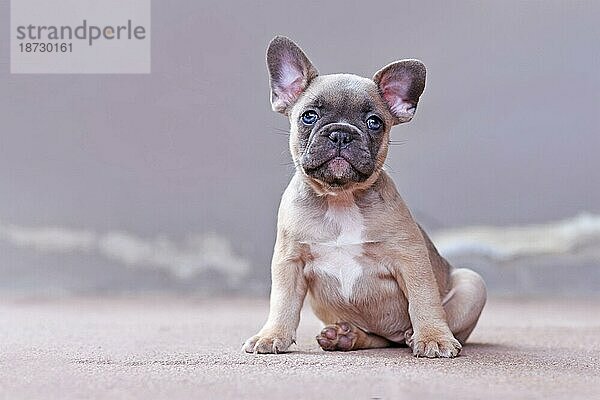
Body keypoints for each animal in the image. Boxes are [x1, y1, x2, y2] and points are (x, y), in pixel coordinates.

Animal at [241, 36, 486, 356]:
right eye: (309, 116)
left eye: (374, 122)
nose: (342, 134)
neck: (341, 198)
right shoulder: (289, 262)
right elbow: (282, 302)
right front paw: (271, 335)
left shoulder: (411, 259)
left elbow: (424, 300)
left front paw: (434, 337)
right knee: (376, 339)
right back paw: (345, 336)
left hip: (473, 284)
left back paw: (412, 335)